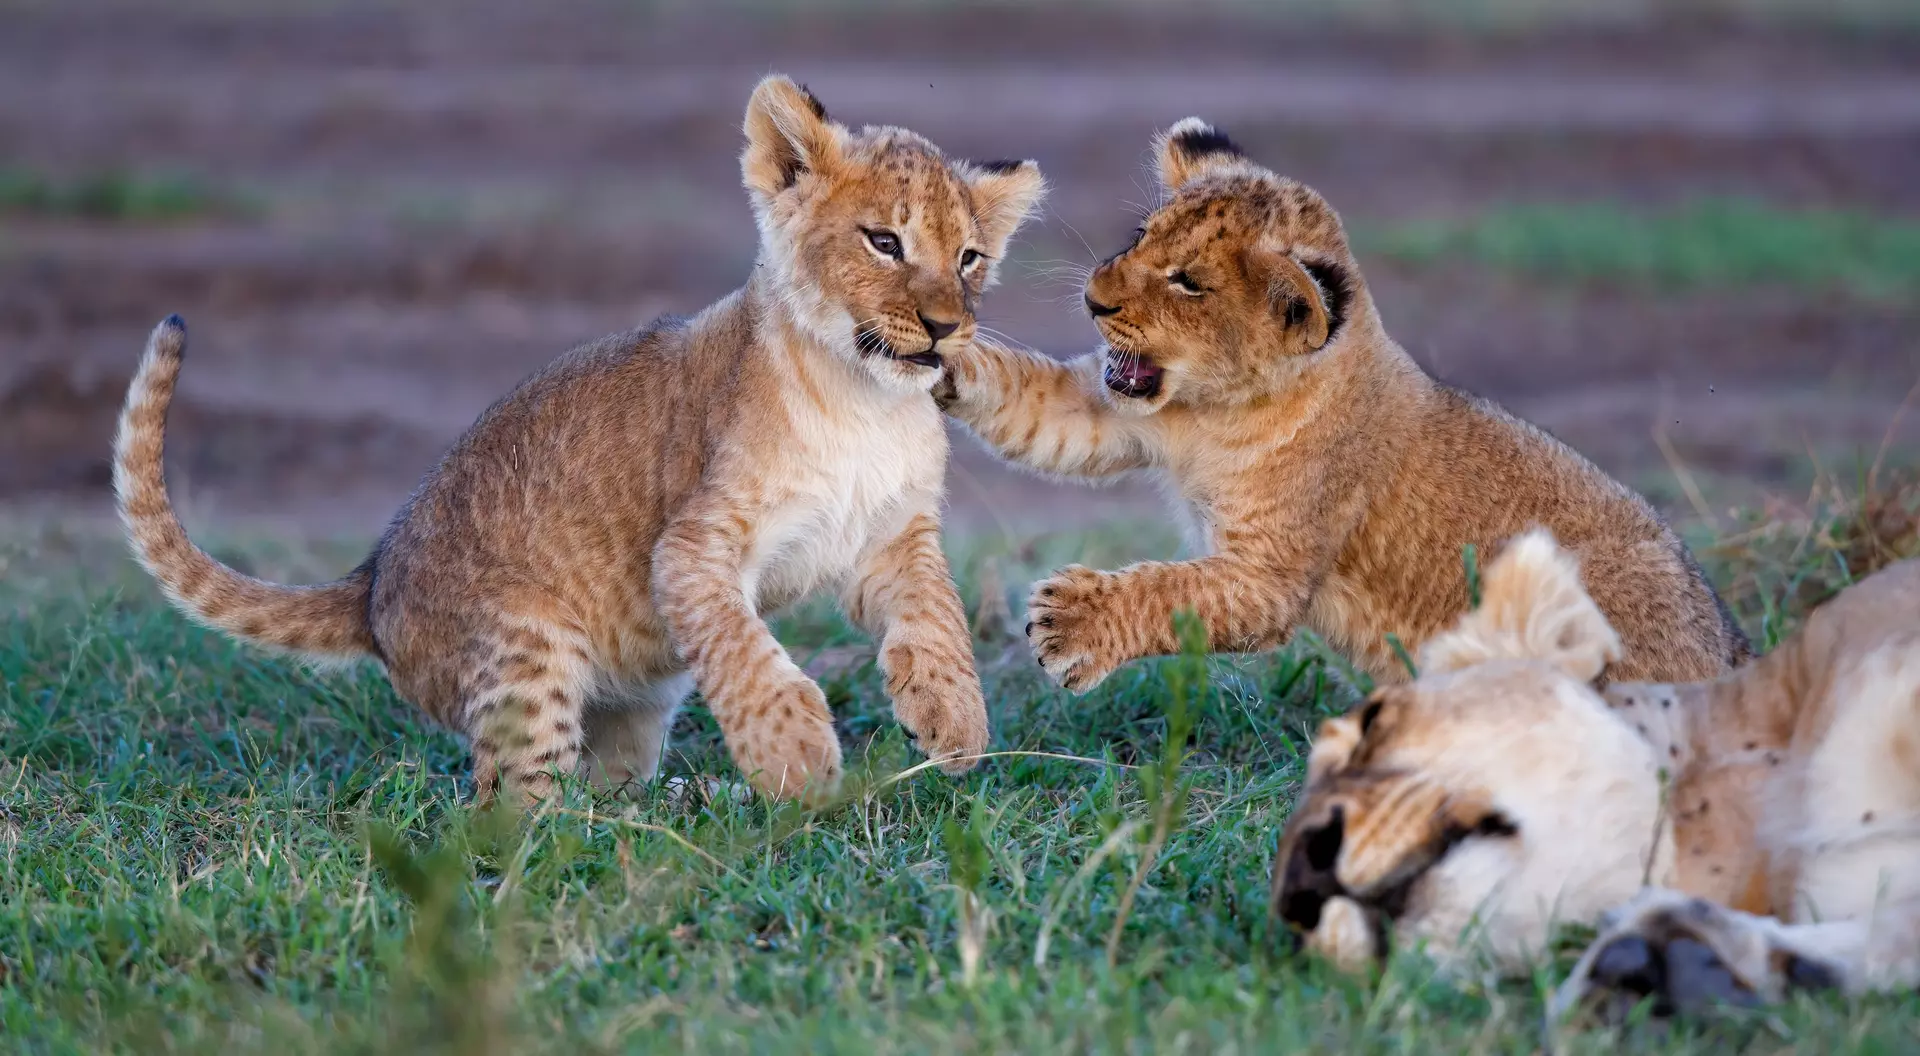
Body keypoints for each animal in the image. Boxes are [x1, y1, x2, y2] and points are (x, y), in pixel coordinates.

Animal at [113, 75, 1046, 804]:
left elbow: (938, 619)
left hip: (631, 704)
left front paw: (955, 723)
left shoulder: (892, 535)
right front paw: (796, 759)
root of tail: (371, 584)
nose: (946, 328)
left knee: (599, 778)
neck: (865, 400)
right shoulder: (693, 548)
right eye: (883, 242)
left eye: (969, 258)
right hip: (528, 653)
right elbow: (745, 652)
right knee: (509, 809)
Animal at [938, 118, 1747, 690]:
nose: (1093, 300)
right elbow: (1034, 402)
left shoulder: (1269, 575)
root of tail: (1732, 650)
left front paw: (1068, 625)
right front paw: (940, 355)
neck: (1217, 411)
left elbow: (1173, 592)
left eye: (1189, 282)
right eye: (1140, 236)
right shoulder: (1116, 414)